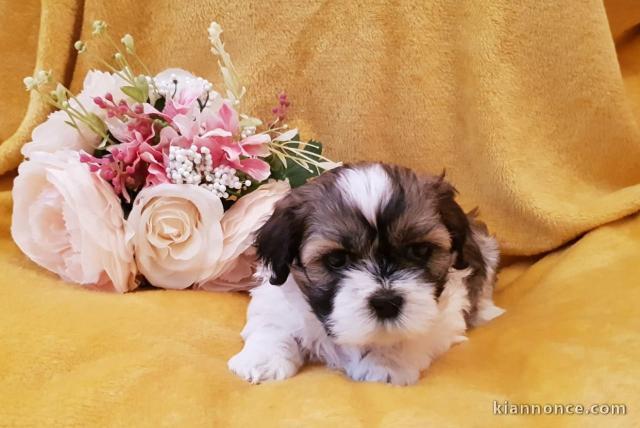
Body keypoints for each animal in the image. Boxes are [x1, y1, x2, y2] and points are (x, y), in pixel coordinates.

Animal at [230, 162, 504, 386]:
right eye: (336, 259)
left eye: (419, 251)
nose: (386, 302)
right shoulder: (276, 297)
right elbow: (273, 324)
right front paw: (263, 359)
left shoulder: (443, 317)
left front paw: (385, 362)